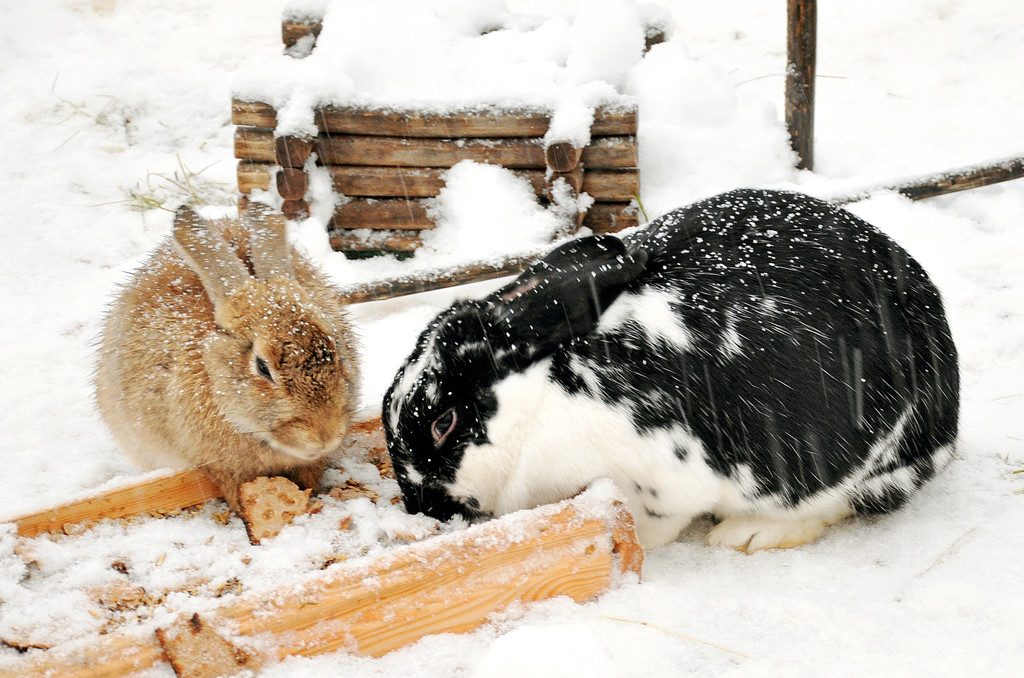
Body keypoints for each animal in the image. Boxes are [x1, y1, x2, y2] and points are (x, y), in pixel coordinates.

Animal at [382, 189, 958, 553]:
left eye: (443, 423)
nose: (420, 506)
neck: (539, 394)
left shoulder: (662, 476)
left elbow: (652, 520)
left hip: (862, 468)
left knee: (840, 503)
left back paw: (746, 534)